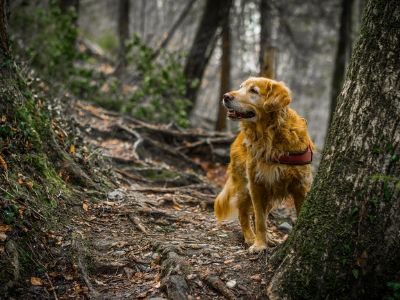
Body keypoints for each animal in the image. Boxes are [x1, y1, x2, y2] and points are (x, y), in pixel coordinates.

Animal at [214, 77, 314, 253]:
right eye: (240, 87)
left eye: (253, 91)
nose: (226, 96)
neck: (269, 135)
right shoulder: (256, 184)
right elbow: (260, 220)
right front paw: (259, 245)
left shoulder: (301, 185)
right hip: (244, 186)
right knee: (244, 214)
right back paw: (250, 237)